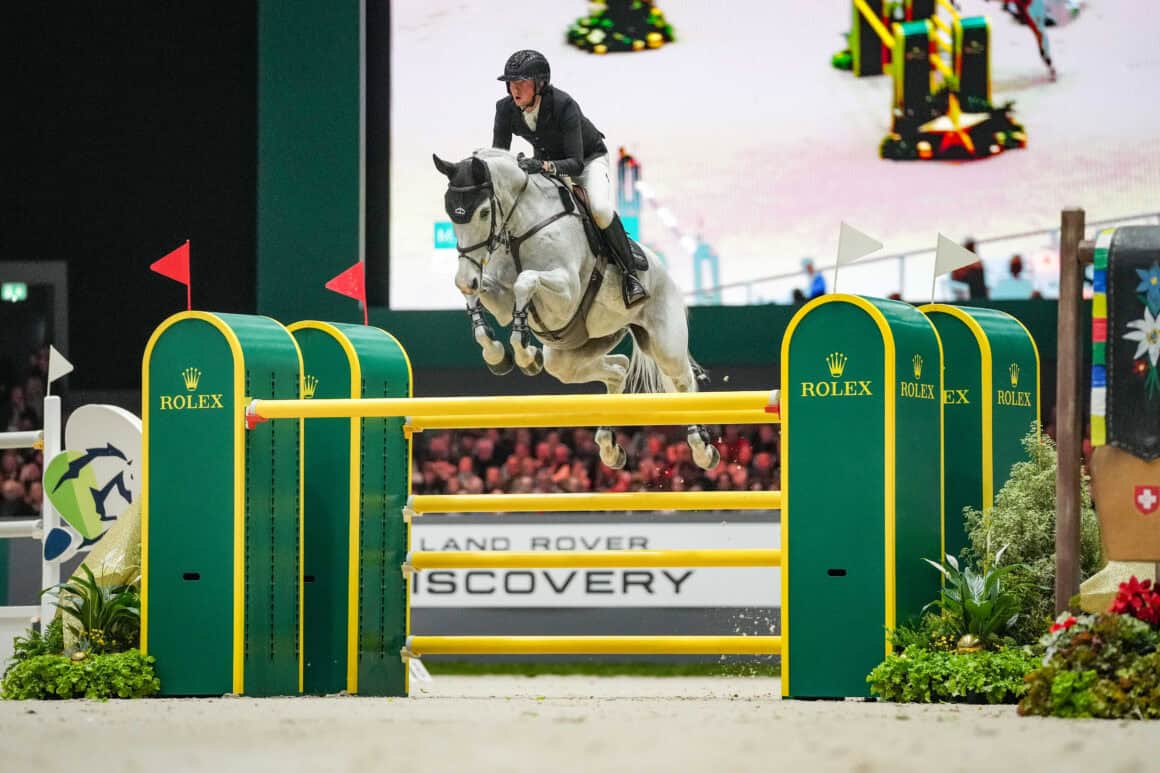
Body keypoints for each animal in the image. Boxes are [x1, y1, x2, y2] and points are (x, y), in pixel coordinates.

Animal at [431, 146, 714, 468]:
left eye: (483, 212)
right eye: (450, 212)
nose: (467, 278)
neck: (521, 229)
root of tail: (666, 274)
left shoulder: (566, 293)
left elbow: (525, 282)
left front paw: (524, 354)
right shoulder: (501, 300)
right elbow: (486, 299)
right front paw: (498, 354)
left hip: (665, 344)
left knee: (683, 381)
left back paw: (702, 449)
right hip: (572, 354)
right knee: (618, 368)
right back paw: (609, 446)